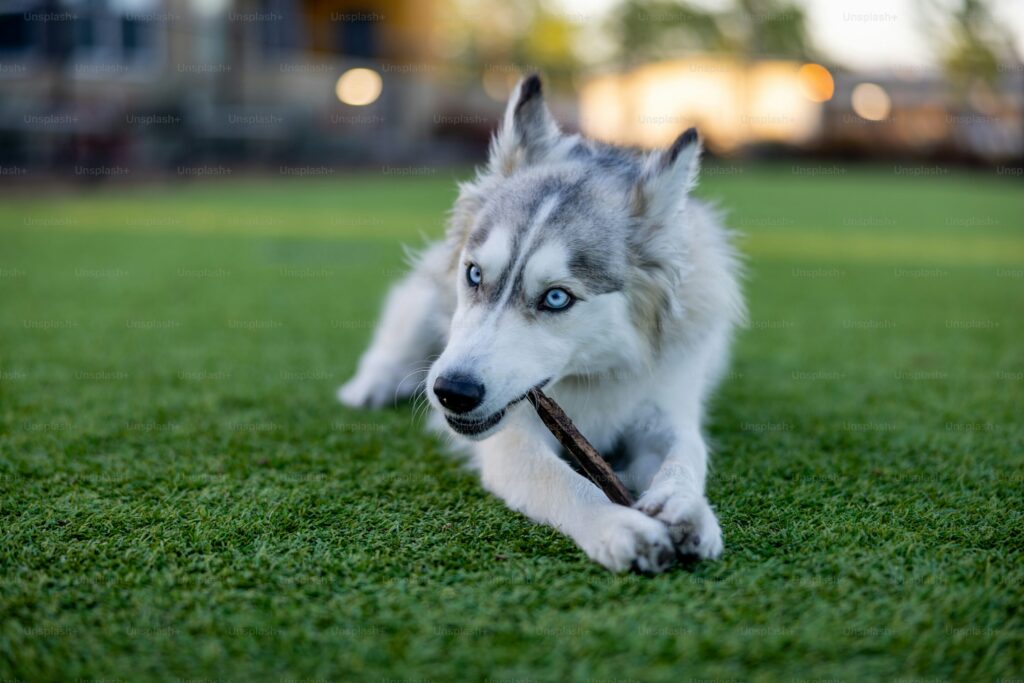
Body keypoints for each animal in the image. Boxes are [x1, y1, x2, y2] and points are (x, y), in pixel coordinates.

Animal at [339, 77, 741, 573]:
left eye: (556, 297)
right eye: (475, 274)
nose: (452, 392)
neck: (592, 376)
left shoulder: (669, 409)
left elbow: (687, 454)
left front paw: (684, 506)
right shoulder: (513, 441)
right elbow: (565, 483)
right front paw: (617, 525)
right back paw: (371, 385)